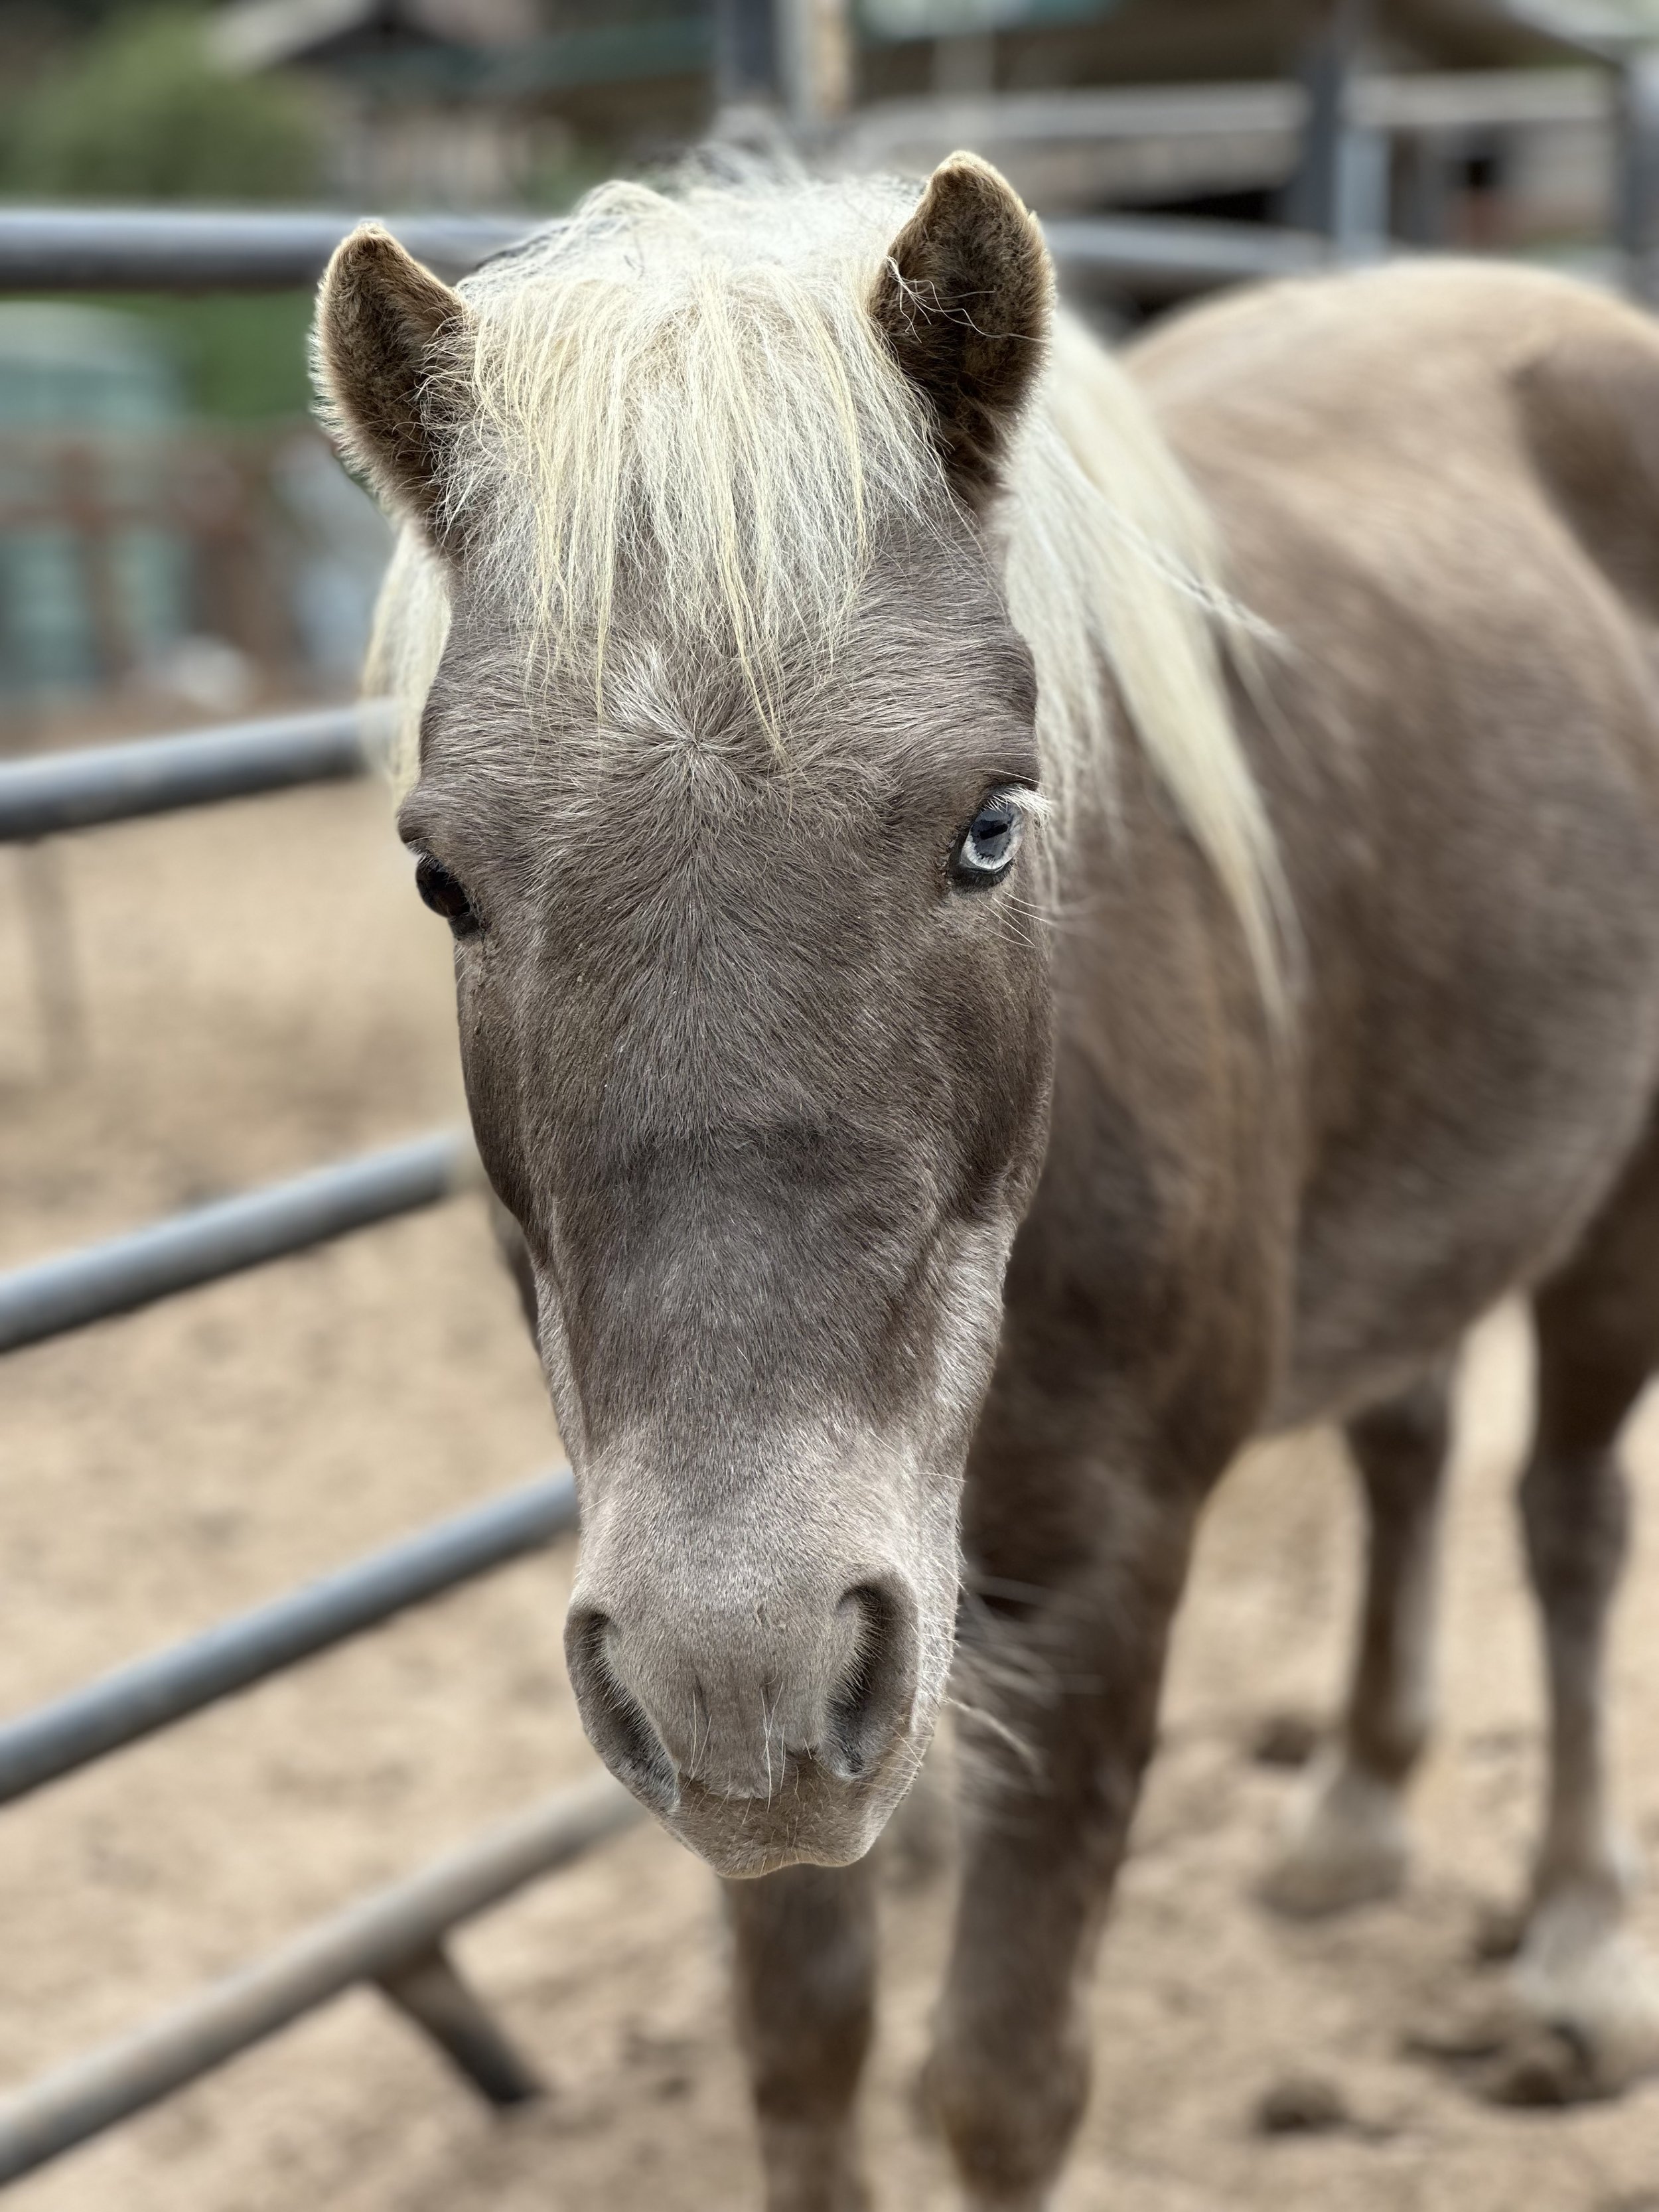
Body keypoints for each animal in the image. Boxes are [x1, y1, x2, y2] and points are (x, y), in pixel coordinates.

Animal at [313, 154, 1659, 2208]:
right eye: (440, 877)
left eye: (992, 825)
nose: (739, 1660)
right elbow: (802, 2049)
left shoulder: (1106, 1566)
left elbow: (1002, 2080)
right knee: (1407, 1445)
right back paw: (1354, 1806)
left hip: (1616, 1205)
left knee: (1569, 1521)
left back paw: (1579, 1941)